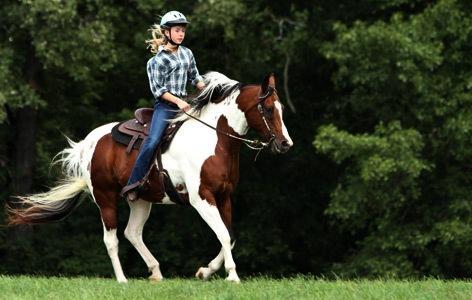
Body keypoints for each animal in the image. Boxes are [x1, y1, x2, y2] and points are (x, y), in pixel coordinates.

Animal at [7, 71, 294, 282]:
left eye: (280, 107)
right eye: (269, 109)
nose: (285, 143)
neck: (214, 139)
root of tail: (88, 144)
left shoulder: (224, 196)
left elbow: (230, 236)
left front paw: (205, 271)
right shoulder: (201, 198)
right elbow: (223, 234)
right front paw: (232, 276)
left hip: (141, 200)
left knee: (132, 232)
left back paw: (156, 272)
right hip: (105, 198)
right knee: (111, 239)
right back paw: (122, 280)